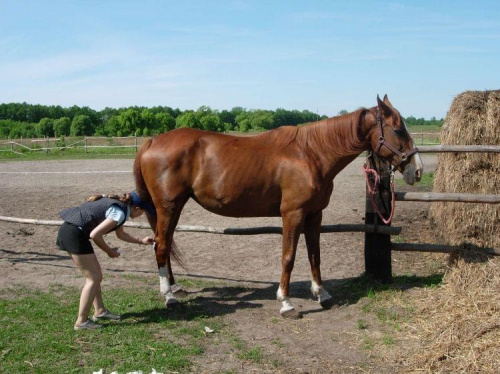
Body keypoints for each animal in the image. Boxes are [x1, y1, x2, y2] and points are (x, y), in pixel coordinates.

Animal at [135, 95, 424, 318]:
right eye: (398, 130)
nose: (417, 169)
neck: (311, 154)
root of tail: (152, 141)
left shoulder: (314, 214)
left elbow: (314, 255)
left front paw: (322, 294)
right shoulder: (292, 214)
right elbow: (289, 256)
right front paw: (286, 303)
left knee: (164, 244)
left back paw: (174, 288)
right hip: (169, 206)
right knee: (161, 246)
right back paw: (169, 297)